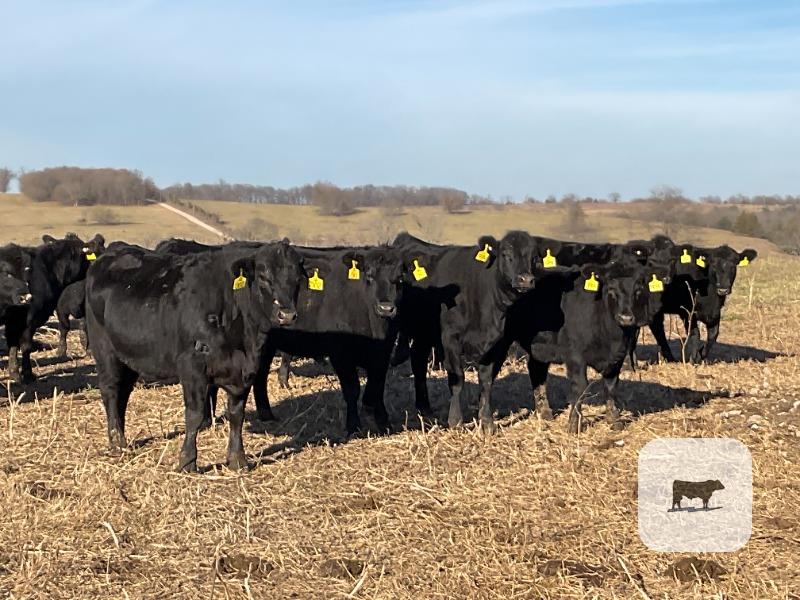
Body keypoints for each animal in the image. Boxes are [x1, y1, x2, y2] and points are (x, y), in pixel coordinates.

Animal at [2, 233, 105, 383]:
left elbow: (14, 345)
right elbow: (26, 346)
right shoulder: (30, 317)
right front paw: (27, 374)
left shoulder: (16, 319)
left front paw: (14, 373)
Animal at [85, 240, 305, 471]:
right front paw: (187, 461)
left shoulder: (245, 372)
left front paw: (237, 459)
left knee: (123, 393)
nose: (287, 315)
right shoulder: (192, 367)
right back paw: (116, 442)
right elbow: (195, 414)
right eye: (263, 276)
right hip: (105, 351)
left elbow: (237, 414)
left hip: (129, 357)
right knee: (110, 391)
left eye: (297, 278)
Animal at [391, 231, 543, 434]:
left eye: (534, 258)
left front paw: (487, 422)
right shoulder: (450, 339)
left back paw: (425, 408)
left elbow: (486, 381)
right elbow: (457, 380)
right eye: (506, 254)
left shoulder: (497, 344)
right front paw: (456, 421)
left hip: (424, 332)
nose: (526, 279)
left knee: (418, 360)